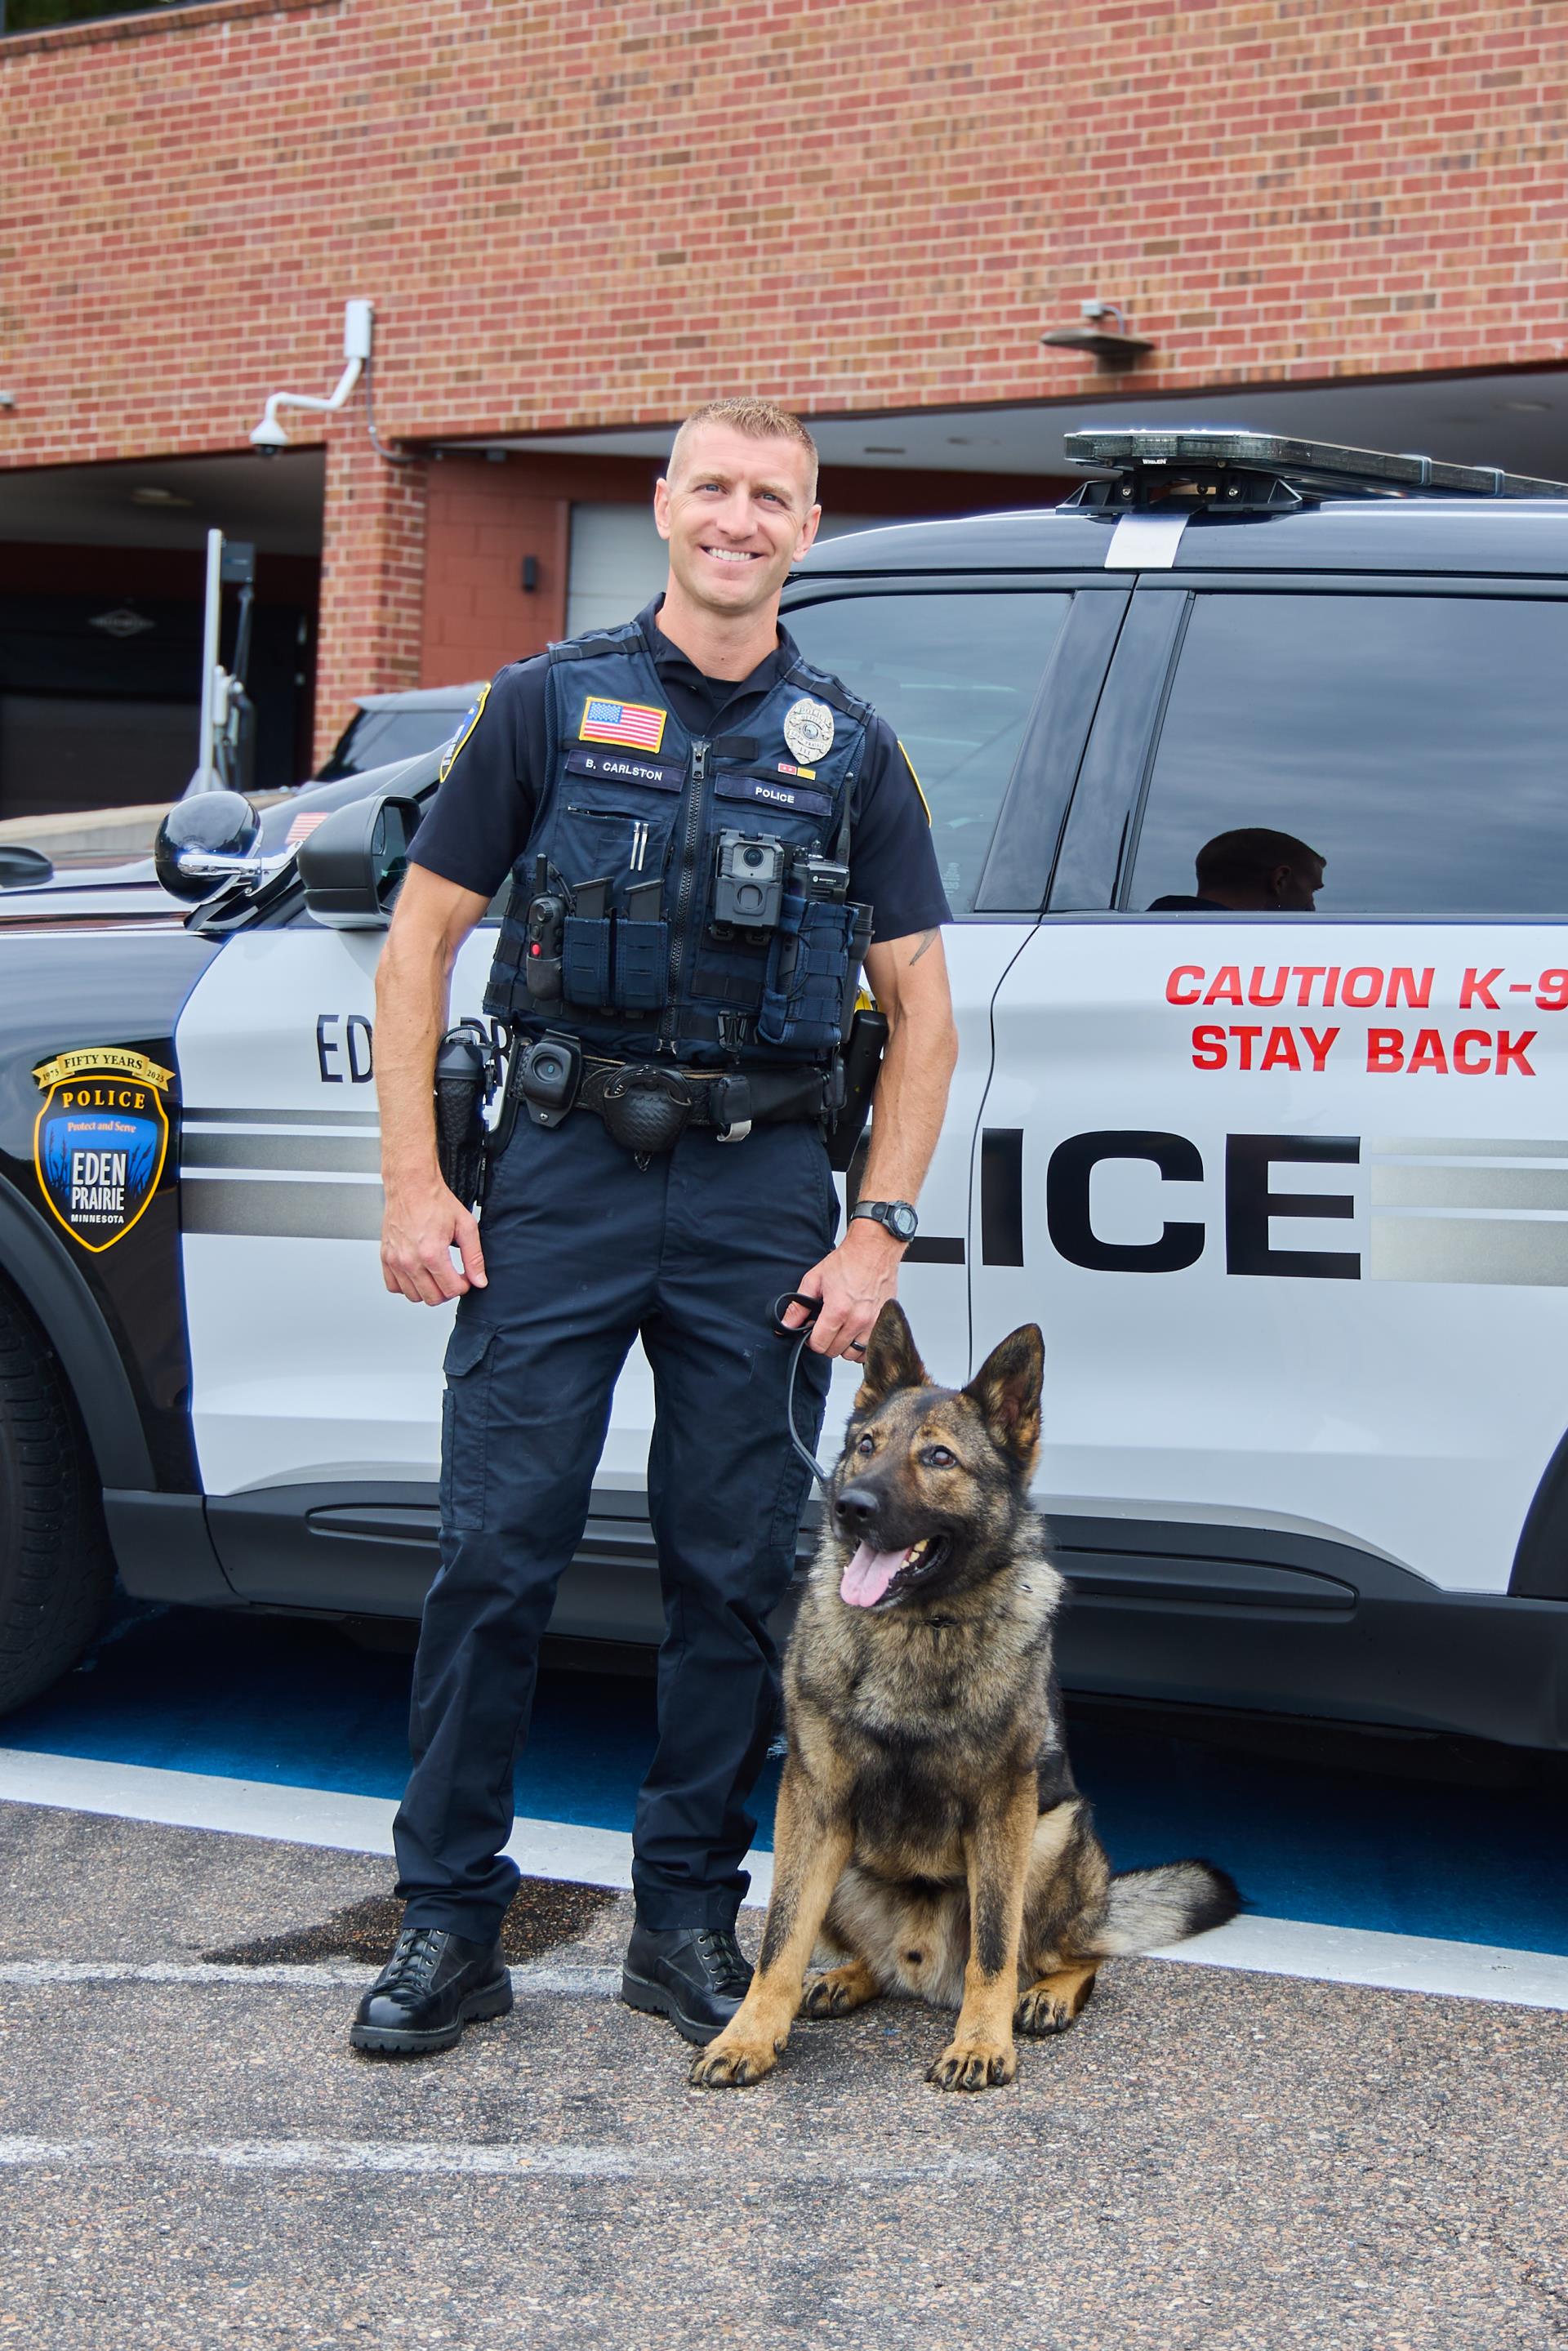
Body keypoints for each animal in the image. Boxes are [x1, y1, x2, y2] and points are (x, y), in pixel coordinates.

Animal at [686, 1307, 1241, 2097]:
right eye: (866, 1445)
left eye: (940, 1458)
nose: (851, 1508)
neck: (917, 1626)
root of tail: (923, 1972)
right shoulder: (813, 1800)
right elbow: (779, 1940)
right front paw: (750, 2034)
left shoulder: (1003, 1808)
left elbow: (994, 1946)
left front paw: (982, 2041)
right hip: (844, 1858)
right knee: (872, 1961)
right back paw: (847, 1976)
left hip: (1050, 1836)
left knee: (1069, 1955)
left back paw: (1042, 1996)